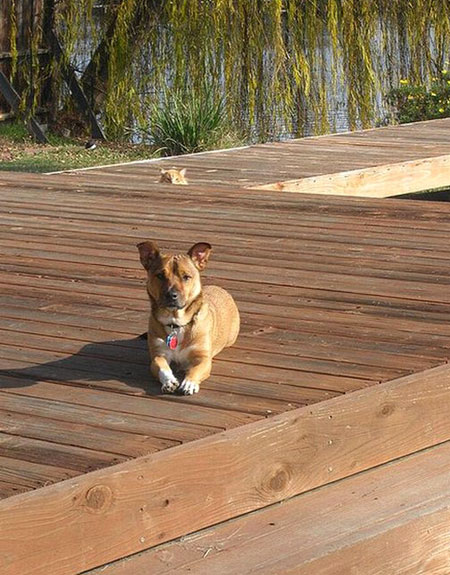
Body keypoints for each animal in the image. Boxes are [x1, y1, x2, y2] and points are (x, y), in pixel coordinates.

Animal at [137, 241, 241, 394]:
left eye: (186, 277)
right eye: (160, 275)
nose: (171, 295)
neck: (176, 323)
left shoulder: (203, 358)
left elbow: (195, 370)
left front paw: (189, 382)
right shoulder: (158, 354)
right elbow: (162, 367)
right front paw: (169, 381)